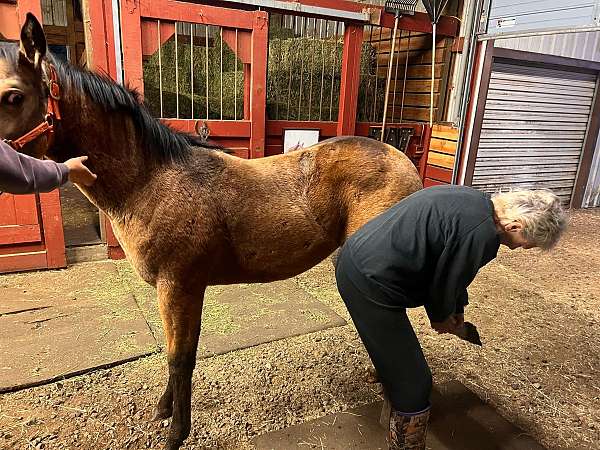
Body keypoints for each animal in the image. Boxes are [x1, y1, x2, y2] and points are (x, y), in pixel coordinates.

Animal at [0, 14, 422, 450]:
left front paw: (175, 433)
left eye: (13, 96)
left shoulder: (180, 285)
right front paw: (164, 410)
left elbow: (180, 357)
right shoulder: (176, 289)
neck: (151, 181)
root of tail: (405, 162)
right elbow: (176, 351)